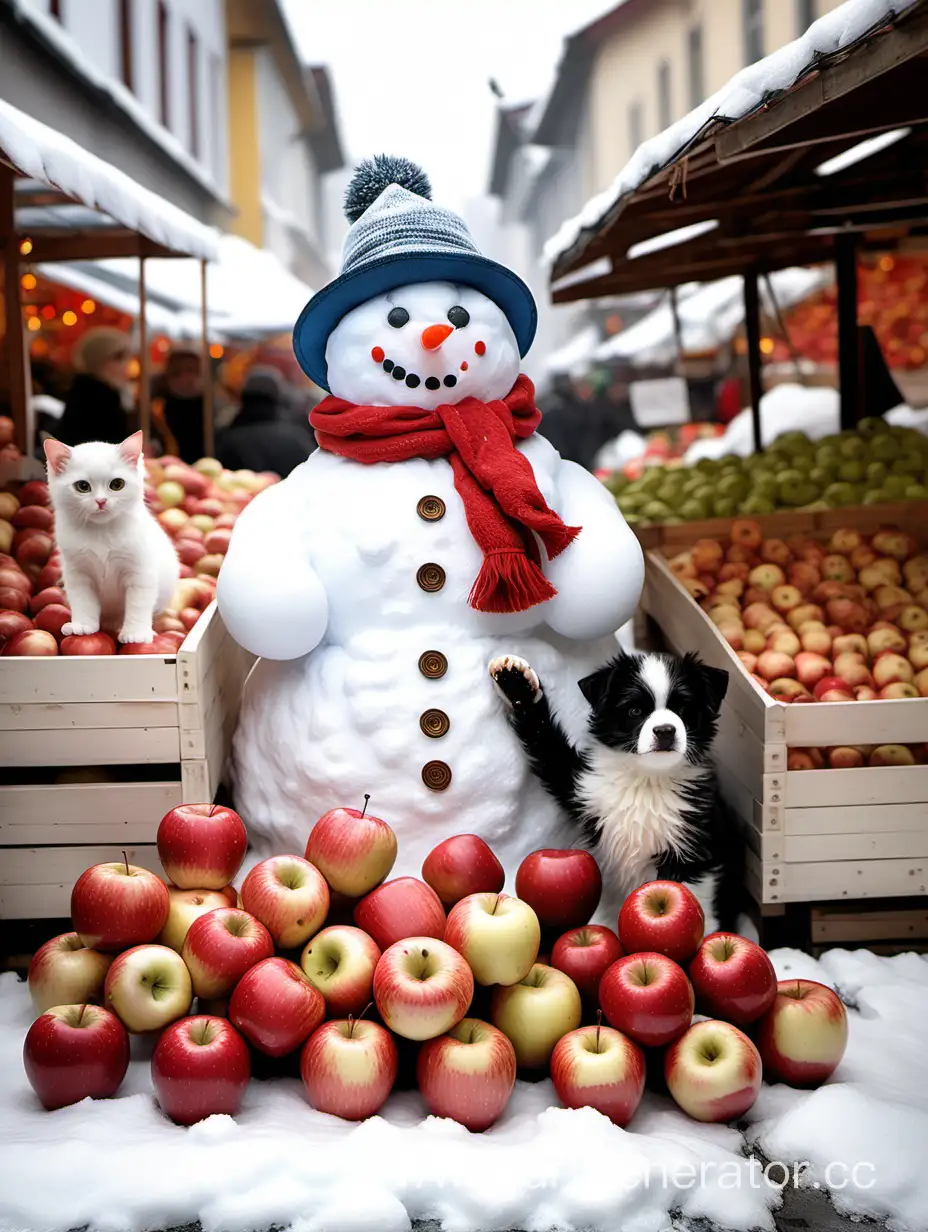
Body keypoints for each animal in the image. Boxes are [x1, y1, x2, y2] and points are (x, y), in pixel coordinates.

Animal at [44, 431, 178, 645]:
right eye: (83, 486)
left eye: (116, 484)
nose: (101, 501)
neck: (101, 531)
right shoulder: (78, 573)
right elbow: (83, 602)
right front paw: (83, 625)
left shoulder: (140, 573)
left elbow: (138, 605)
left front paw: (136, 633)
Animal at [488, 650, 744, 926]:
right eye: (635, 710)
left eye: (683, 709)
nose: (665, 731)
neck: (647, 780)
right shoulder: (581, 786)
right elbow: (548, 746)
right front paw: (516, 683)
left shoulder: (694, 847)